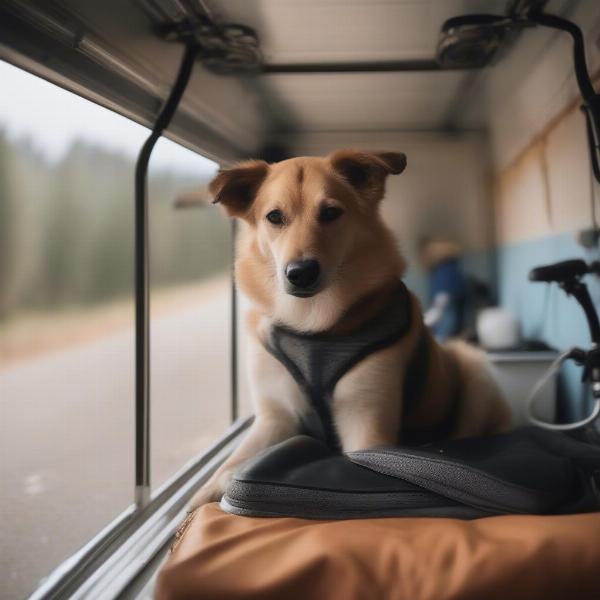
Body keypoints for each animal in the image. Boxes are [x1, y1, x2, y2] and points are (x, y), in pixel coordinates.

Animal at [189, 151, 510, 510]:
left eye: (331, 212)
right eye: (274, 217)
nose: (300, 272)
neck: (313, 326)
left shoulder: (366, 423)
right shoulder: (275, 416)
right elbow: (231, 464)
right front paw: (204, 495)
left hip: (473, 367)